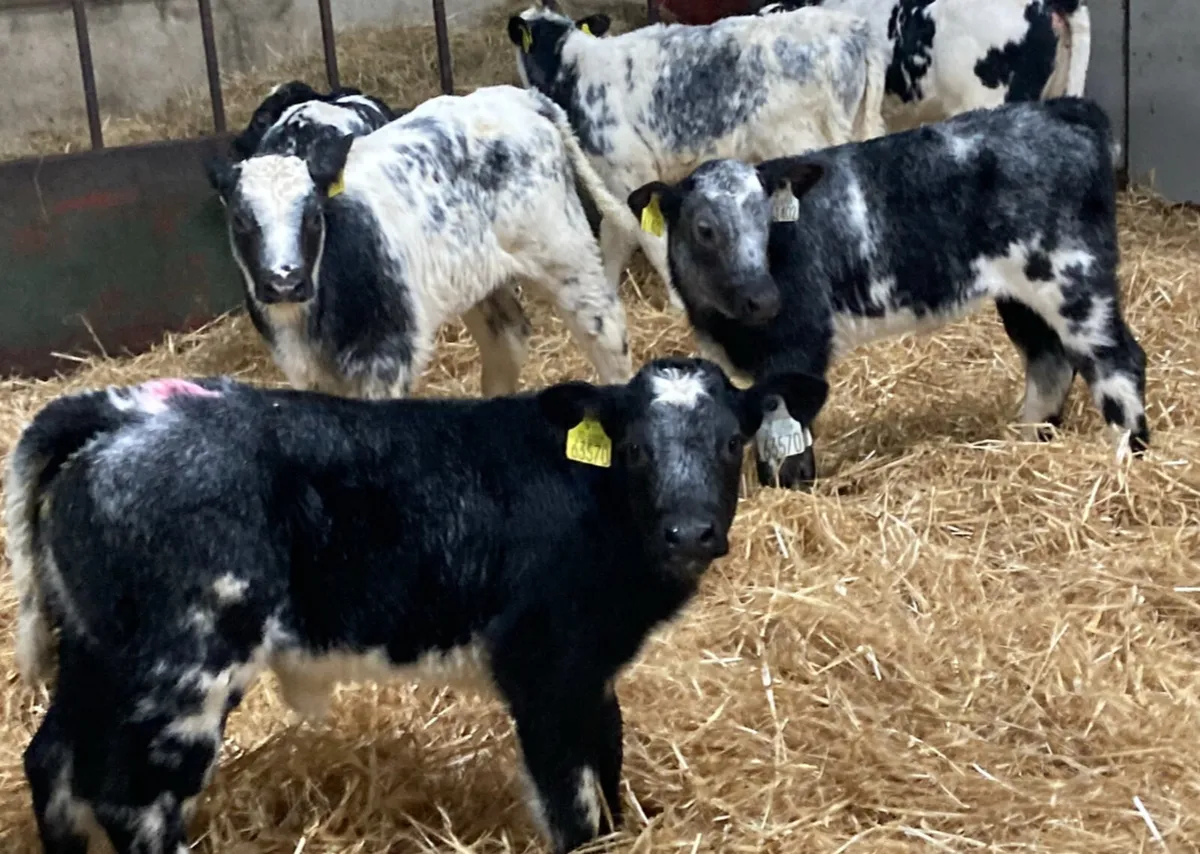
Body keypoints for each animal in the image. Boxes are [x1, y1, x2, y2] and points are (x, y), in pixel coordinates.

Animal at [6, 358, 829, 854]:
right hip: (186, 665)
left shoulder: (590, 670)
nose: (689, 531)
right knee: (130, 794)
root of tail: (127, 408)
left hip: (98, 652)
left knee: (54, 761)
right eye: (632, 449)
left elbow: (609, 759)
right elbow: (571, 798)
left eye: (730, 442)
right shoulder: (541, 667)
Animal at [507, 0, 887, 309]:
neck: (572, 70)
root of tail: (852, 29)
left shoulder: (630, 174)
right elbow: (614, 238)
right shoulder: (612, 182)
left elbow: (648, 237)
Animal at [627, 97, 1148, 490]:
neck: (725, 322)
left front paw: (792, 489)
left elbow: (787, 430)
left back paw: (1129, 454)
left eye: (765, 222)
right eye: (704, 229)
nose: (764, 299)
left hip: (1075, 280)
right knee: (1049, 362)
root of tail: (1065, 110)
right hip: (1022, 296)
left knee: (1118, 361)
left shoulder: (798, 350)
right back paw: (1024, 444)